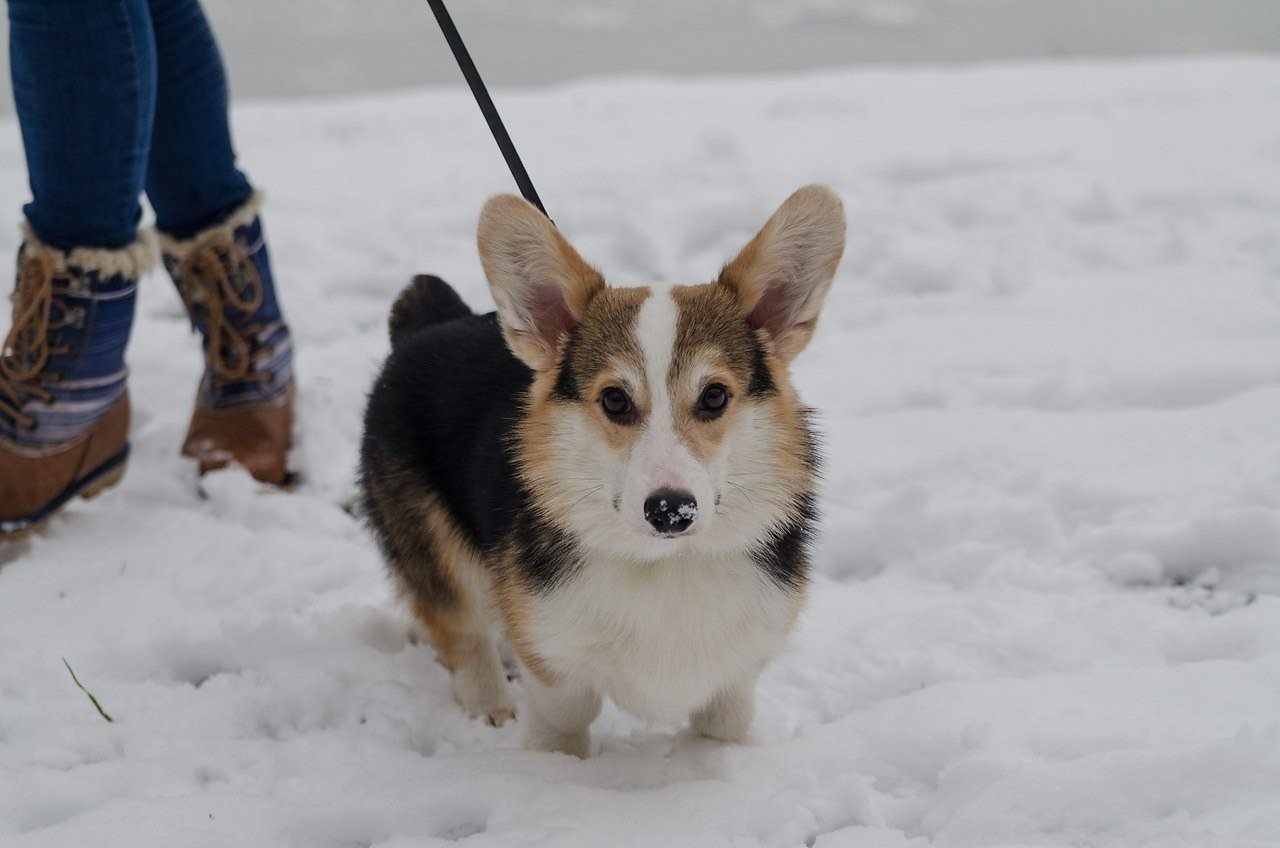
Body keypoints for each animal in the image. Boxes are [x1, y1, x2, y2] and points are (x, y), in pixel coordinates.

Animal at [355, 185, 844, 758]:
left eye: (715, 396)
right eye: (614, 400)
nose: (670, 510)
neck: (666, 568)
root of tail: (433, 321)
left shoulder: (736, 677)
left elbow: (724, 725)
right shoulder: (555, 671)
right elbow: (562, 726)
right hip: (434, 541)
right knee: (461, 626)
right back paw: (491, 706)